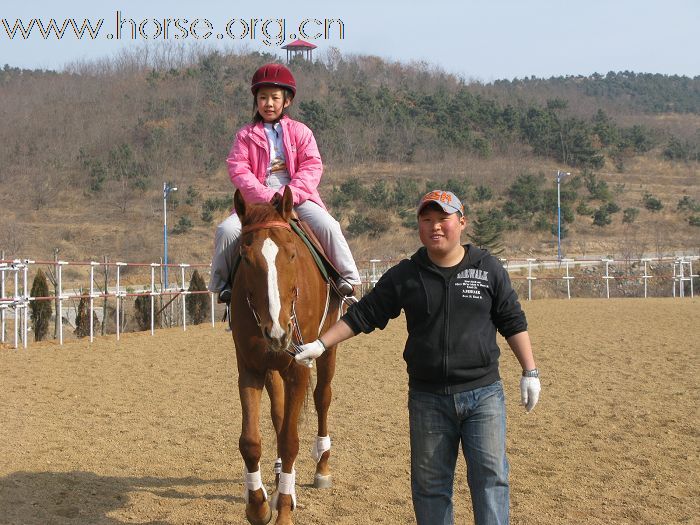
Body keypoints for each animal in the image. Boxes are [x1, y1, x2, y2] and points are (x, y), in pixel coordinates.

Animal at [230, 186, 342, 520]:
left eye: (291, 254)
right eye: (245, 257)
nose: (277, 331)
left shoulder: (299, 368)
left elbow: (291, 441)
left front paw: (284, 513)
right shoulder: (251, 368)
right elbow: (251, 441)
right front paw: (258, 505)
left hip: (327, 349)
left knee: (322, 397)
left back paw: (321, 466)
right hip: (273, 365)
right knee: (279, 414)